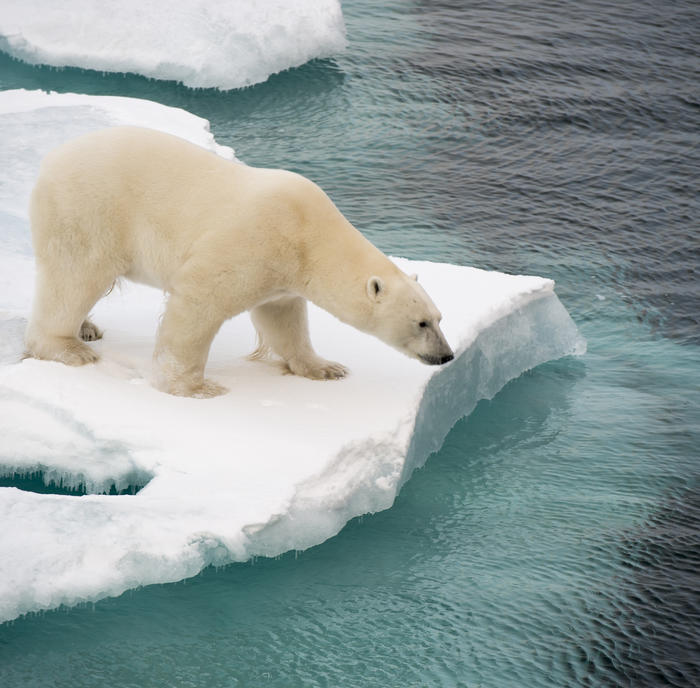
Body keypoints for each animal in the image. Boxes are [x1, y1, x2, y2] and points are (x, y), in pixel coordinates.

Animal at [24, 127, 454, 398]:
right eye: (421, 323)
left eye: (439, 318)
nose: (447, 355)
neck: (309, 231)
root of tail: (52, 158)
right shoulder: (254, 238)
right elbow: (199, 302)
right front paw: (194, 387)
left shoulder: (283, 272)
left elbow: (283, 318)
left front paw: (325, 368)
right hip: (90, 208)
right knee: (76, 274)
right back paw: (69, 347)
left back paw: (88, 328)